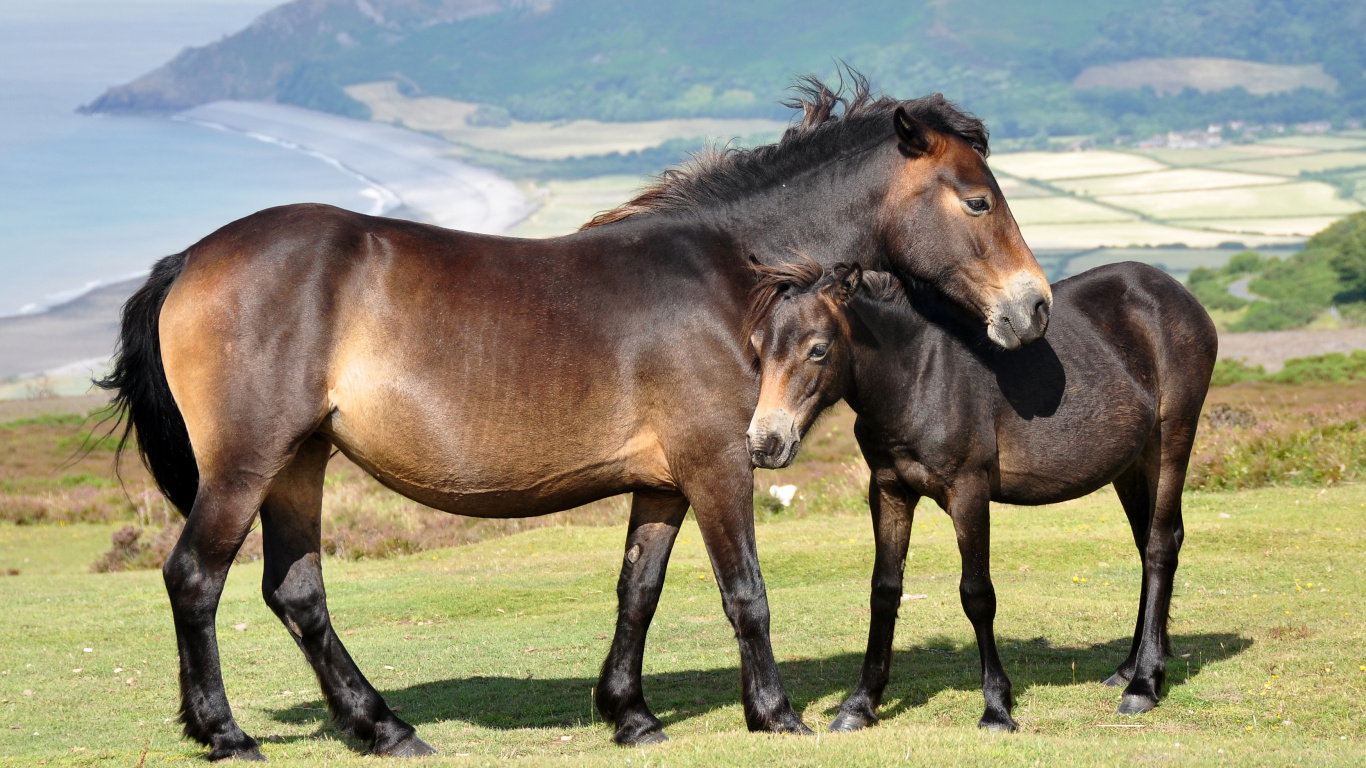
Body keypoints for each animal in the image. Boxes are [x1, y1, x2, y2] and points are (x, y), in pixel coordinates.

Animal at [101, 73, 1049, 759]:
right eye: (976, 201)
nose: (1032, 307)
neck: (729, 279)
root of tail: (191, 259)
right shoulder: (719, 462)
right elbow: (745, 592)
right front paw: (775, 713)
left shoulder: (665, 481)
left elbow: (639, 590)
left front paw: (630, 714)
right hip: (248, 463)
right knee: (195, 579)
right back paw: (226, 733)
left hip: (299, 460)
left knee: (296, 593)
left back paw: (385, 728)